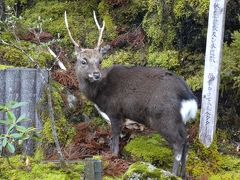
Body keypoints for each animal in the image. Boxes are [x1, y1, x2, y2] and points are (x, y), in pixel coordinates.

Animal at [63, 11, 197, 179]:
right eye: (83, 61)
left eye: (100, 61)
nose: (96, 74)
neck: (99, 94)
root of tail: (189, 97)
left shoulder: (114, 112)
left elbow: (114, 142)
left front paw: (113, 158)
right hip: (181, 121)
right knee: (186, 142)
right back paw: (183, 174)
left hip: (165, 118)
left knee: (178, 144)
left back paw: (172, 173)